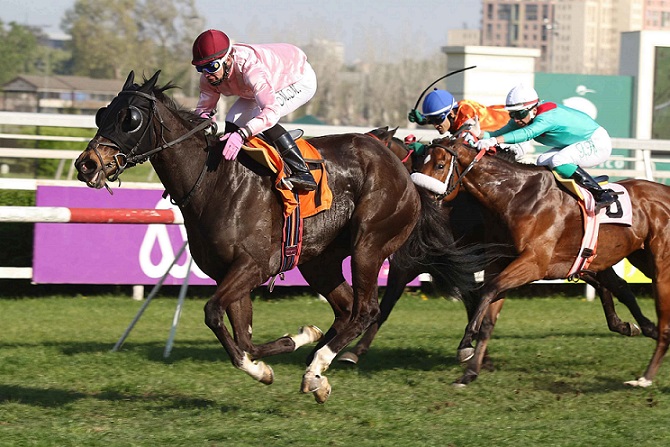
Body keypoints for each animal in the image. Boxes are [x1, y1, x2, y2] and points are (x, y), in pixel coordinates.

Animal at [73, 71, 479, 403]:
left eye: (130, 118)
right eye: (101, 114)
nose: (86, 164)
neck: (215, 181)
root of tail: (404, 171)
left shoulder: (253, 266)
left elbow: (213, 314)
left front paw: (279, 357)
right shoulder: (229, 274)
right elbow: (243, 338)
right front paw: (291, 345)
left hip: (369, 245)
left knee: (366, 310)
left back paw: (317, 366)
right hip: (320, 261)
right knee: (347, 309)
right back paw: (318, 370)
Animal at [345, 129, 655, 386]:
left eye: (441, 165)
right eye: (421, 165)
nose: (418, 198)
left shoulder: (451, 263)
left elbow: (475, 300)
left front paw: (470, 350)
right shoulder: (420, 263)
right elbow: (390, 306)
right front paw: (355, 351)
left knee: (617, 286)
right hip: (584, 260)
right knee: (615, 286)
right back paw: (634, 326)